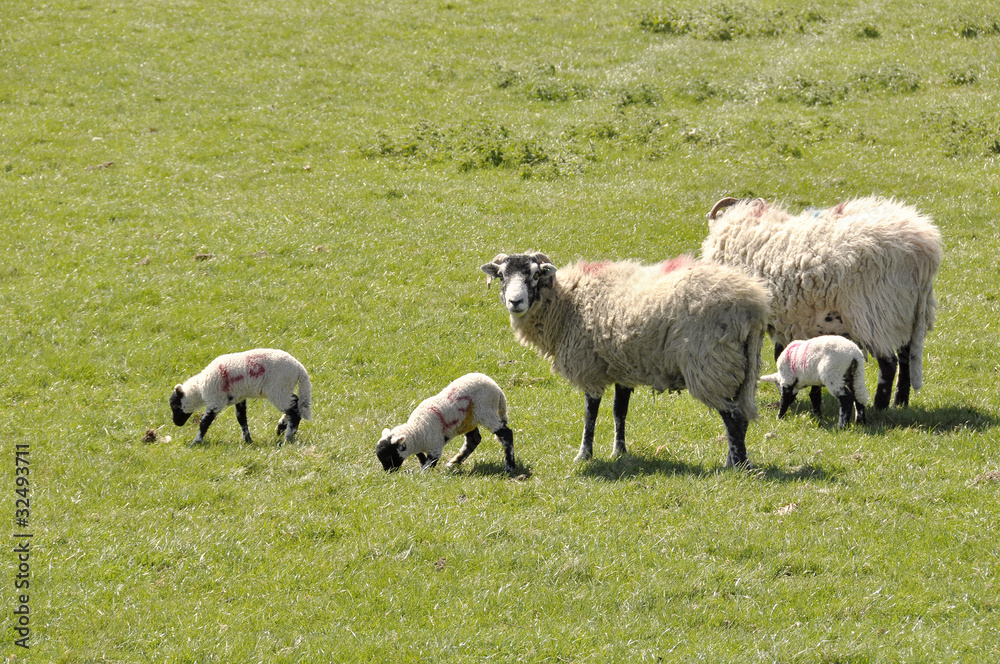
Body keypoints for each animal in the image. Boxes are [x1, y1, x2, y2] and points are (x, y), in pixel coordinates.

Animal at [170, 348, 312, 445]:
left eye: (175, 406)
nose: (176, 423)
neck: (200, 388)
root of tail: (299, 369)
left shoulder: (215, 401)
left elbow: (205, 422)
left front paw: (196, 442)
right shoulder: (240, 398)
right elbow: (241, 418)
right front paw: (248, 440)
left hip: (278, 389)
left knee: (294, 411)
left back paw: (288, 436)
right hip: (284, 389)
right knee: (296, 402)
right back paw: (282, 427)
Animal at [375, 373, 516, 474]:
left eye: (388, 457)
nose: (389, 472)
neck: (417, 430)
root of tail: (497, 389)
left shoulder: (435, 447)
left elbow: (429, 463)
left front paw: (421, 475)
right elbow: (421, 457)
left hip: (485, 411)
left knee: (506, 434)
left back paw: (510, 466)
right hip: (468, 420)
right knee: (474, 439)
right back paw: (454, 462)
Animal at [480, 252, 770, 468]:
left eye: (535, 274)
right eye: (502, 276)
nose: (515, 302)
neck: (568, 302)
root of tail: (752, 304)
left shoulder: (589, 366)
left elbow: (590, 414)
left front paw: (584, 454)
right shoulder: (622, 366)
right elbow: (619, 411)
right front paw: (619, 451)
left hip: (710, 363)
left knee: (733, 416)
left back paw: (738, 466)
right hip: (740, 365)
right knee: (740, 415)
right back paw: (734, 460)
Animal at [702, 196, 942, 411]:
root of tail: (923, 251)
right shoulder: (788, 320)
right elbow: (782, 353)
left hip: (874, 313)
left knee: (889, 363)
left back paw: (880, 406)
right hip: (903, 313)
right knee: (906, 357)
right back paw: (900, 402)